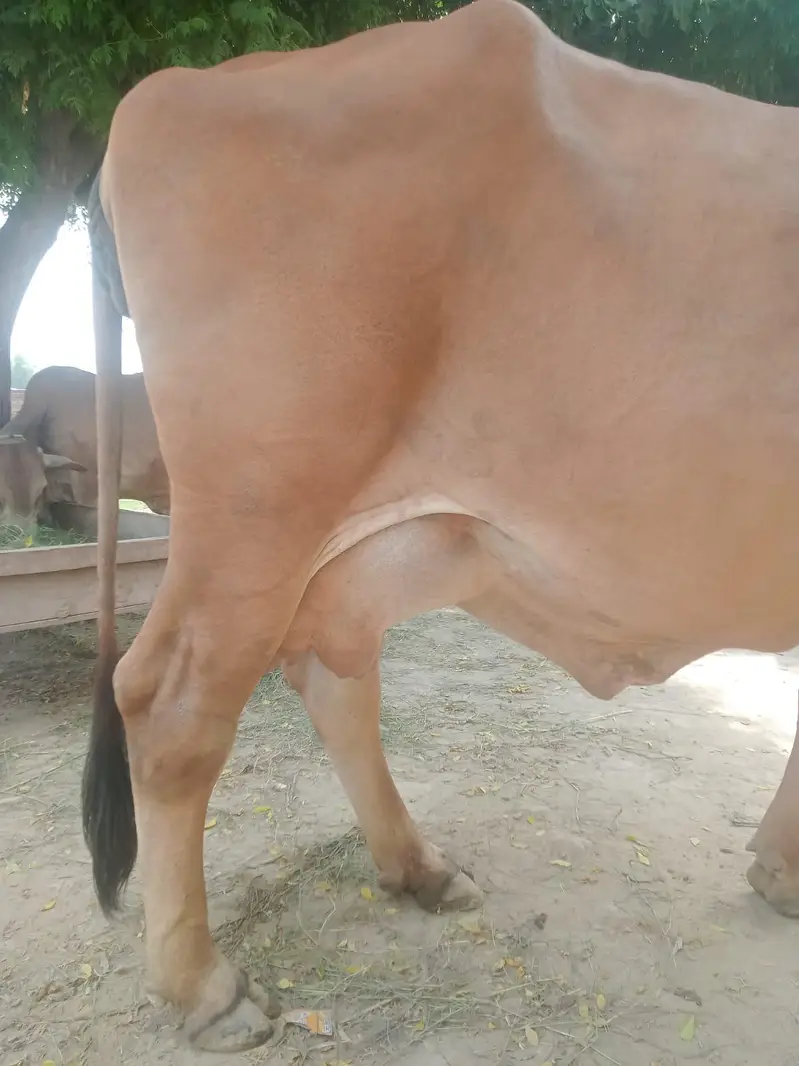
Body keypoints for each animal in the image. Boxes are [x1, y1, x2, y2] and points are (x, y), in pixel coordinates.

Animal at [81, 0, 799, 1051]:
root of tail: (177, 85)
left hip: (358, 543)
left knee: (332, 678)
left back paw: (416, 867)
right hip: (257, 518)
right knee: (173, 708)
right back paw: (204, 986)